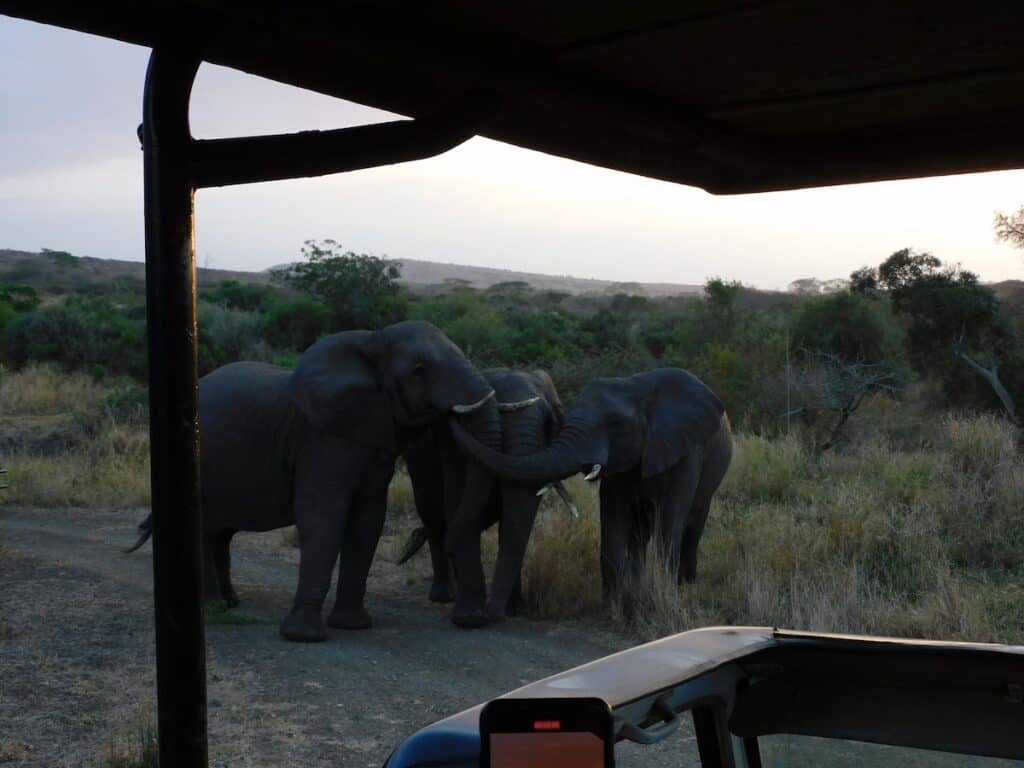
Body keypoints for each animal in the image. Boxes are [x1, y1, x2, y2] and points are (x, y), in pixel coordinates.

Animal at [127, 320, 503, 642]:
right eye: (419, 370)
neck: (372, 340)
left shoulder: (370, 437)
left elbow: (368, 521)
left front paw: (352, 626)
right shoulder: (322, 439)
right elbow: (324, 516)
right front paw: (304, 636)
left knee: (220, 533)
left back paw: (229, 603)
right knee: (208, 531)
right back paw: (214, 607)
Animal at [399, 368, 569, 626]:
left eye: (549, 422)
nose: (493, 615)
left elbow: (512, 523)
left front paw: (512, 611)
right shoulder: (453, 446)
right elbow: (458, 500)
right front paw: (469, 618)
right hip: (418, 460)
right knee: (435, 518)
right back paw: (444, 596)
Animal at [450, 368, 732, 598]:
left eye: (616, 424)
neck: (636, 385)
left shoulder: (686, 451)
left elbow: (671, 516)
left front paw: (660, 594)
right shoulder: (619, 463)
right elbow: (613, 515)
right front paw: (619, 600)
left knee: (693, 524)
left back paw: (688, 584)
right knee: (639, 532)